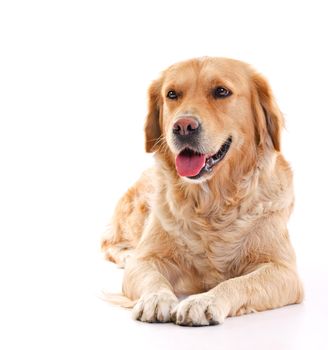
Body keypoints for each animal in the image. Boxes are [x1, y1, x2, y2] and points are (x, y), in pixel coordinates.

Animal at [101, 56, 304, 326]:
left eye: (221, 91)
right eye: (172, 94)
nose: (183, 126)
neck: (211, 203)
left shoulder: (283, 270)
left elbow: (239, 283)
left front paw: (204, 301)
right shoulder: (146, 260)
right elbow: (150, 275)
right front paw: (156, 298)